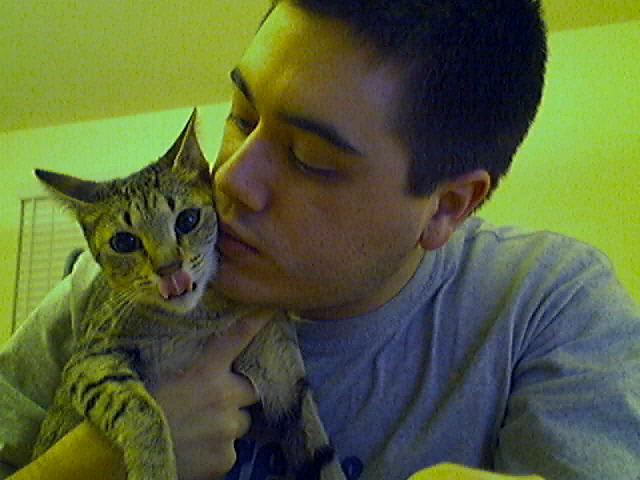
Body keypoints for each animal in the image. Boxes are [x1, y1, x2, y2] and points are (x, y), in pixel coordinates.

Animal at [32, 109, 346, 480]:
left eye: (188, 220)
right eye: (124, 241)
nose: (169, 269)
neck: (201, 319)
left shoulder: (283, 374)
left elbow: (320, 452)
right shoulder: (89, 362)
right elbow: (140, 409)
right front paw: (155, 468)